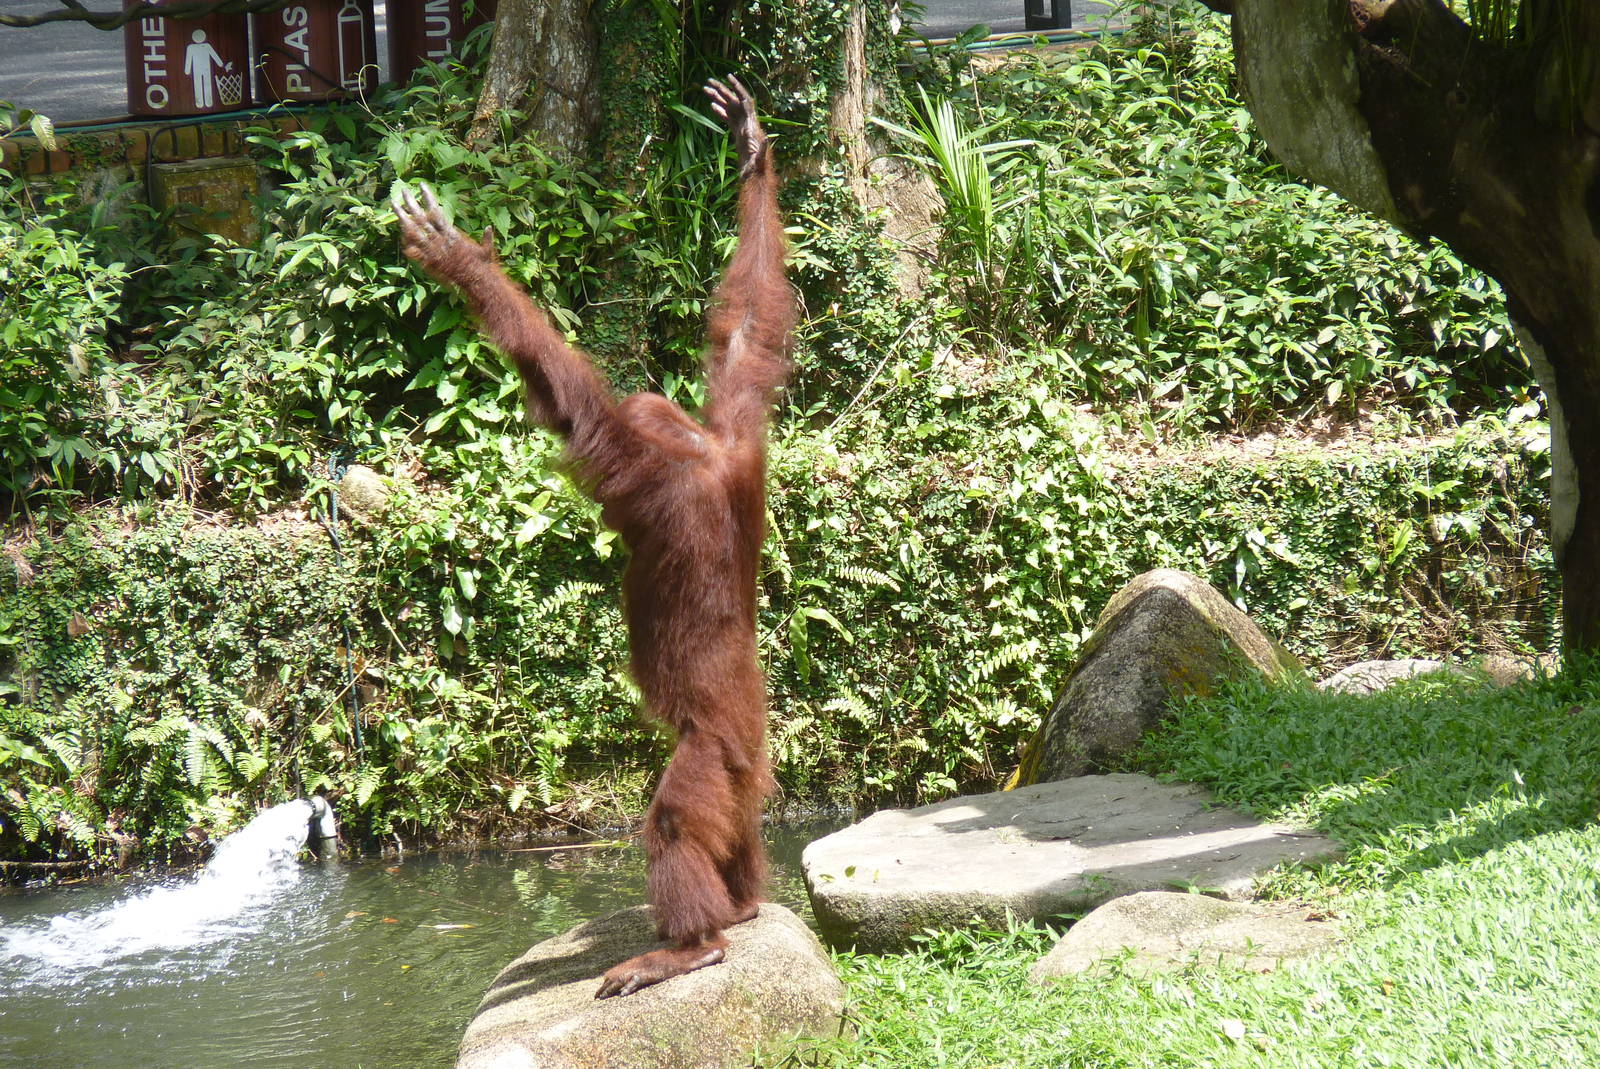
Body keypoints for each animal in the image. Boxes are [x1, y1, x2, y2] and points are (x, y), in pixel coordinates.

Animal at [394, 75, 793, 998]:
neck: (692, 451)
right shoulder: (735, 429)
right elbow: (749, 330)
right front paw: (750, 149)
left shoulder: (642, 472)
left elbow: (574, 404)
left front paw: (462, 263)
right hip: (745, 775)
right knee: (733, 827)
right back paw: (742, 905)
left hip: (711, 755)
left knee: (679, 817)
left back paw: (691, 944)